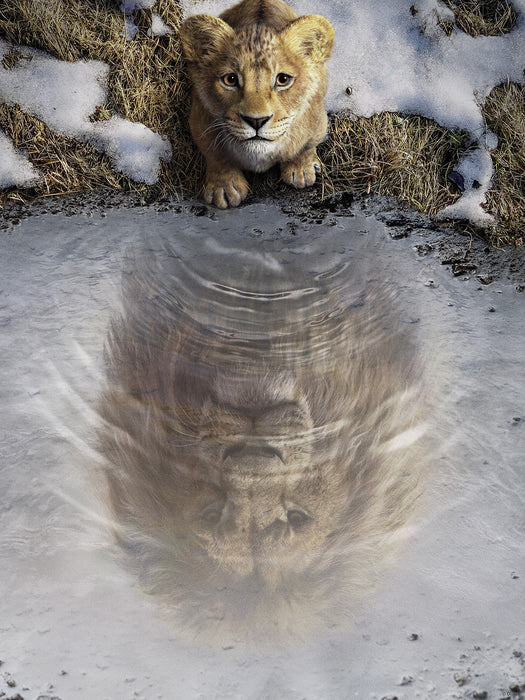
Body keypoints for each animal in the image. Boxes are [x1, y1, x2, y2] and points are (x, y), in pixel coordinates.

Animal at [179, 0, 335, 208]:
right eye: (230, 80)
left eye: (283, 79)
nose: (256, 121)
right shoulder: (199, 121)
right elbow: (215, 155)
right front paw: (224, 187)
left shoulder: (317, 120)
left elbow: (305, 146)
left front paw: (301, 170)